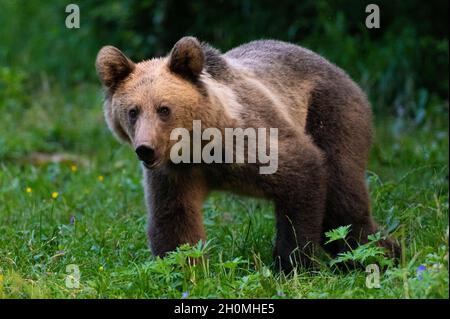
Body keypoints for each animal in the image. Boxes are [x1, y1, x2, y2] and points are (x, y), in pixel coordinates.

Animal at [96, 37, 400, 272]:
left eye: (164, 108)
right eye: (133, 111)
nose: (145, 149)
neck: (199, 147)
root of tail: (339, 69)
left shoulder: (252, 139)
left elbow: (302, 173)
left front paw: (292, 264)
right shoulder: (176, 173)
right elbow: (174, 218)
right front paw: (187, 269)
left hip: (331, 113)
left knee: (342, 199)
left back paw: (381, 255)